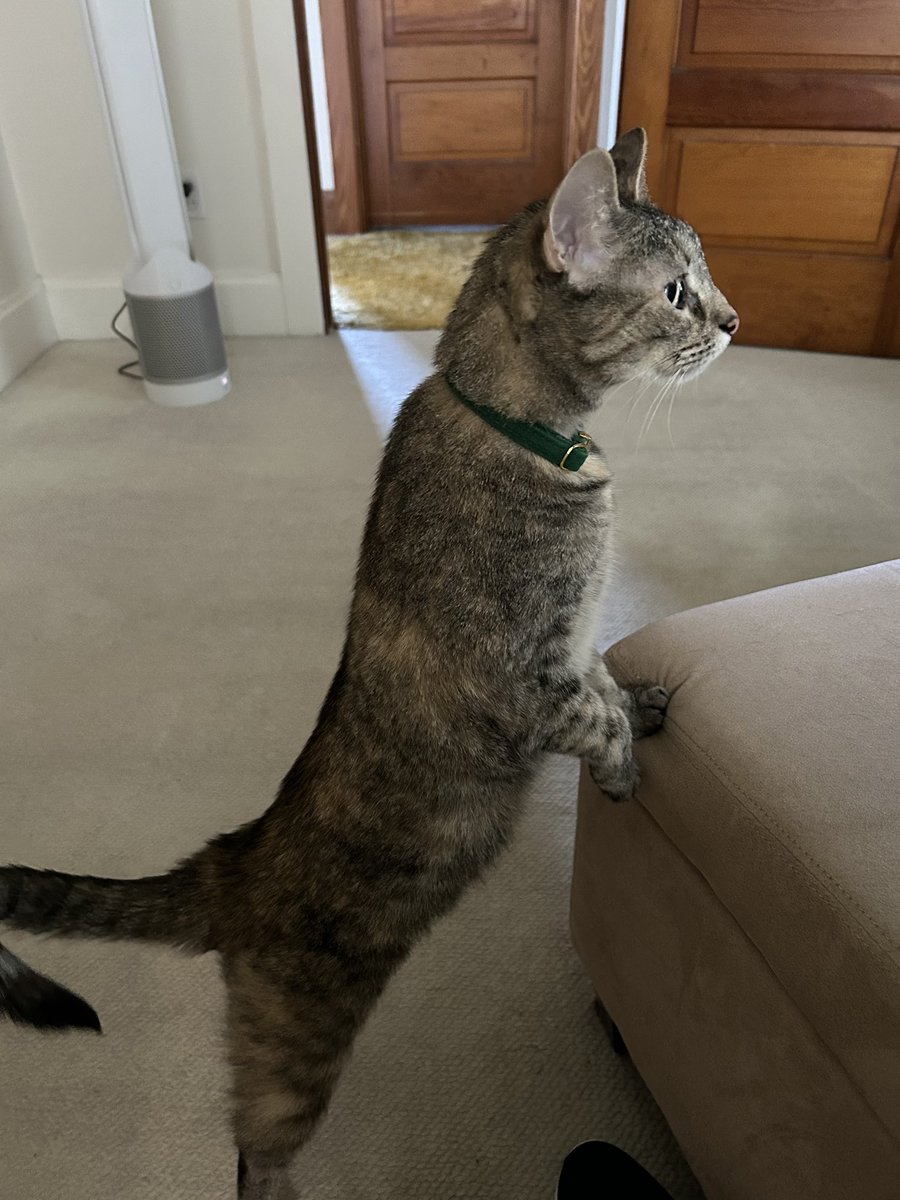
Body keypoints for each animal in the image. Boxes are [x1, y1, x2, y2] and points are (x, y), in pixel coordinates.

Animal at [0, 131, 739, 1200]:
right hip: (295, 1045)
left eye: (706, 278)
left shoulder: (573, 646)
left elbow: (606, 682)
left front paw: (644, 705)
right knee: (253, 1154)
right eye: (678, 291)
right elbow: (594, 718)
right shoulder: (528, 679)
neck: (541, 440)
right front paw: (626, 776)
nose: (736, 318)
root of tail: (229, 861)